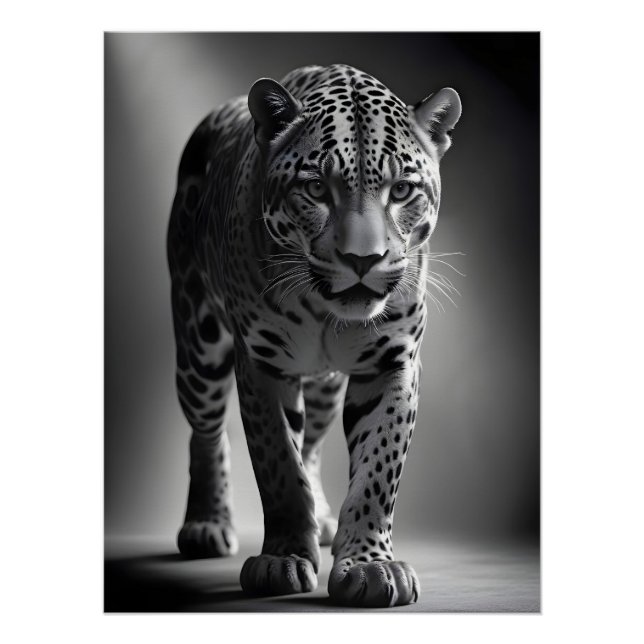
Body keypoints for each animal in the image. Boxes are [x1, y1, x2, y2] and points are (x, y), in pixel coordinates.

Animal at [167, 63, 461, 607]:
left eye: (402, 191)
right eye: (317, 190)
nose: (363, 260)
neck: (328, 314)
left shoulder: (393, 363)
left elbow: (377, 471)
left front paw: (370, 566)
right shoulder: (261, 364)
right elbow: (279, 466)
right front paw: (281, 559)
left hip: (324, 387)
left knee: (314, 442)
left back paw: (322, 520)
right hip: (198, 350)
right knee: (207, 432)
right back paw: (206, 524)